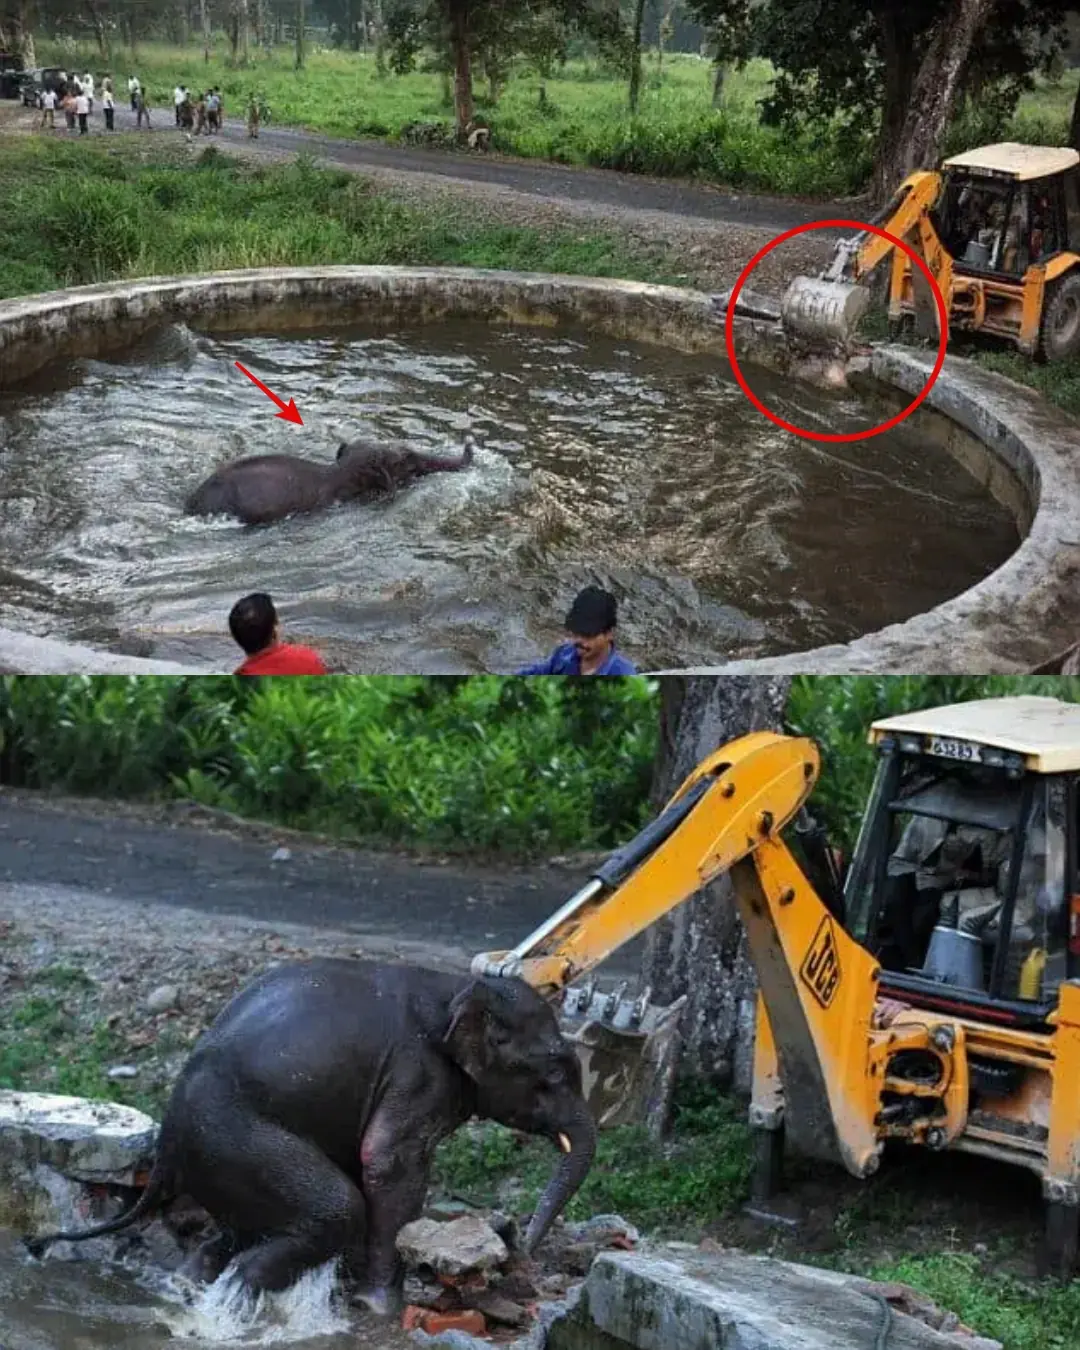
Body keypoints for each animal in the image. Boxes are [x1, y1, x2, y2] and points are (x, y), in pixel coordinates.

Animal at [24, 958, 596, 1316]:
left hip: (220, 1158)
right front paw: (380, 1308)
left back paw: (192, 1285)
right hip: (235, 1137)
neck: (460, 985)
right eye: (554, 1073)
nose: (523, 1245)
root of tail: (165, 1146)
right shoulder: (417, 1075)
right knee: (334, 1210)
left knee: (238, 1230)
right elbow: (387, 1162)